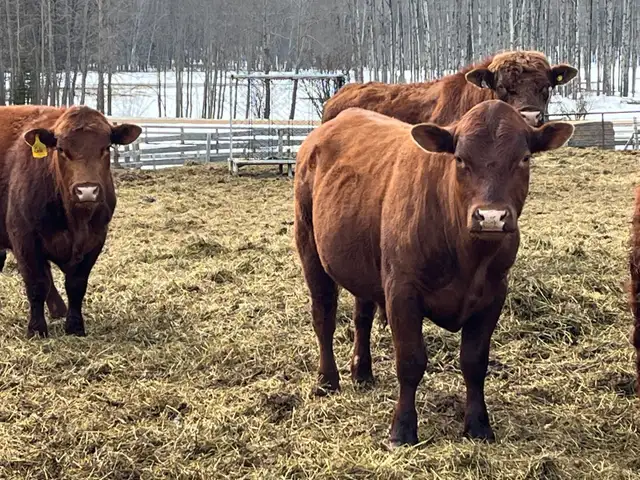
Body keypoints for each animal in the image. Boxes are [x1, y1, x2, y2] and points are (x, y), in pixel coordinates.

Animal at [0, 105, 141, 338]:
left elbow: (76, 284)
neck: (75, 221)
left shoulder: (96, 238)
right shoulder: (24, 237)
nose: (87, 191)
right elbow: (36, 283)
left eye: (106, 147)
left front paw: (74, 326)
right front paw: (36, 329)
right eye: (61, 149)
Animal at [294, 100, 574, 448]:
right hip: (309, 245)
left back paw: (362, 372)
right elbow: (410, 361)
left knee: (362, 316)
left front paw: (478, 425)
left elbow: (474, 362)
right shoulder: (402, 291)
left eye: (524, 158)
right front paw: (402, 430)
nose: (490, 217)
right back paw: (326, 381)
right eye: (460, 159)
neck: (468, 257)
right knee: (324, 316)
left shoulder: (494, 293)